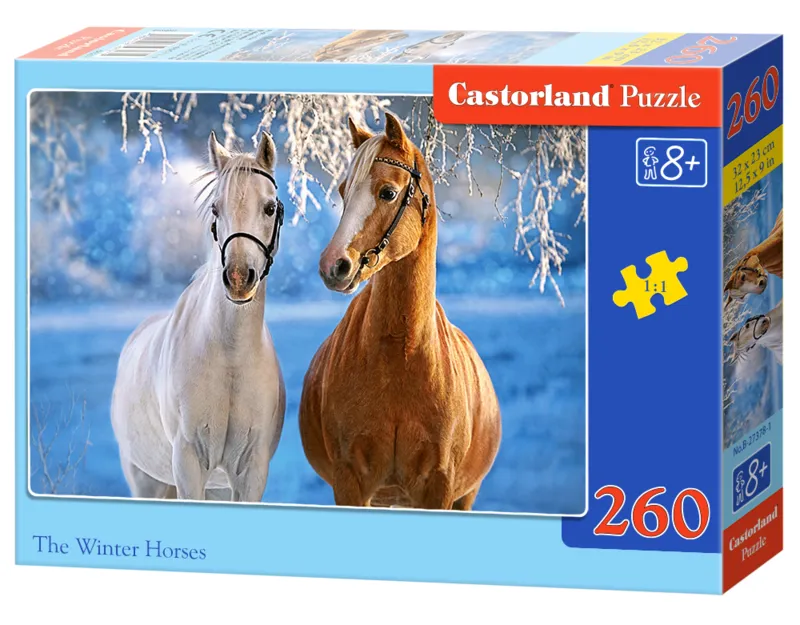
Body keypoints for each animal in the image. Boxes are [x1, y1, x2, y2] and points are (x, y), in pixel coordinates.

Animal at [111, 131, 286, 502]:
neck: (231, 359)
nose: (238, 277)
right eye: (216, 208)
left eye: (269, 207)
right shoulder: (189, 464)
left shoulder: (251, 472)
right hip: (146, 482)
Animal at [298, 113, 501, 510]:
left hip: (465, 496)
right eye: (343, 191)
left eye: (388, 193)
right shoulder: (350, 483)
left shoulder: (439, 487)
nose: (333, 266)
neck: (400, 356)